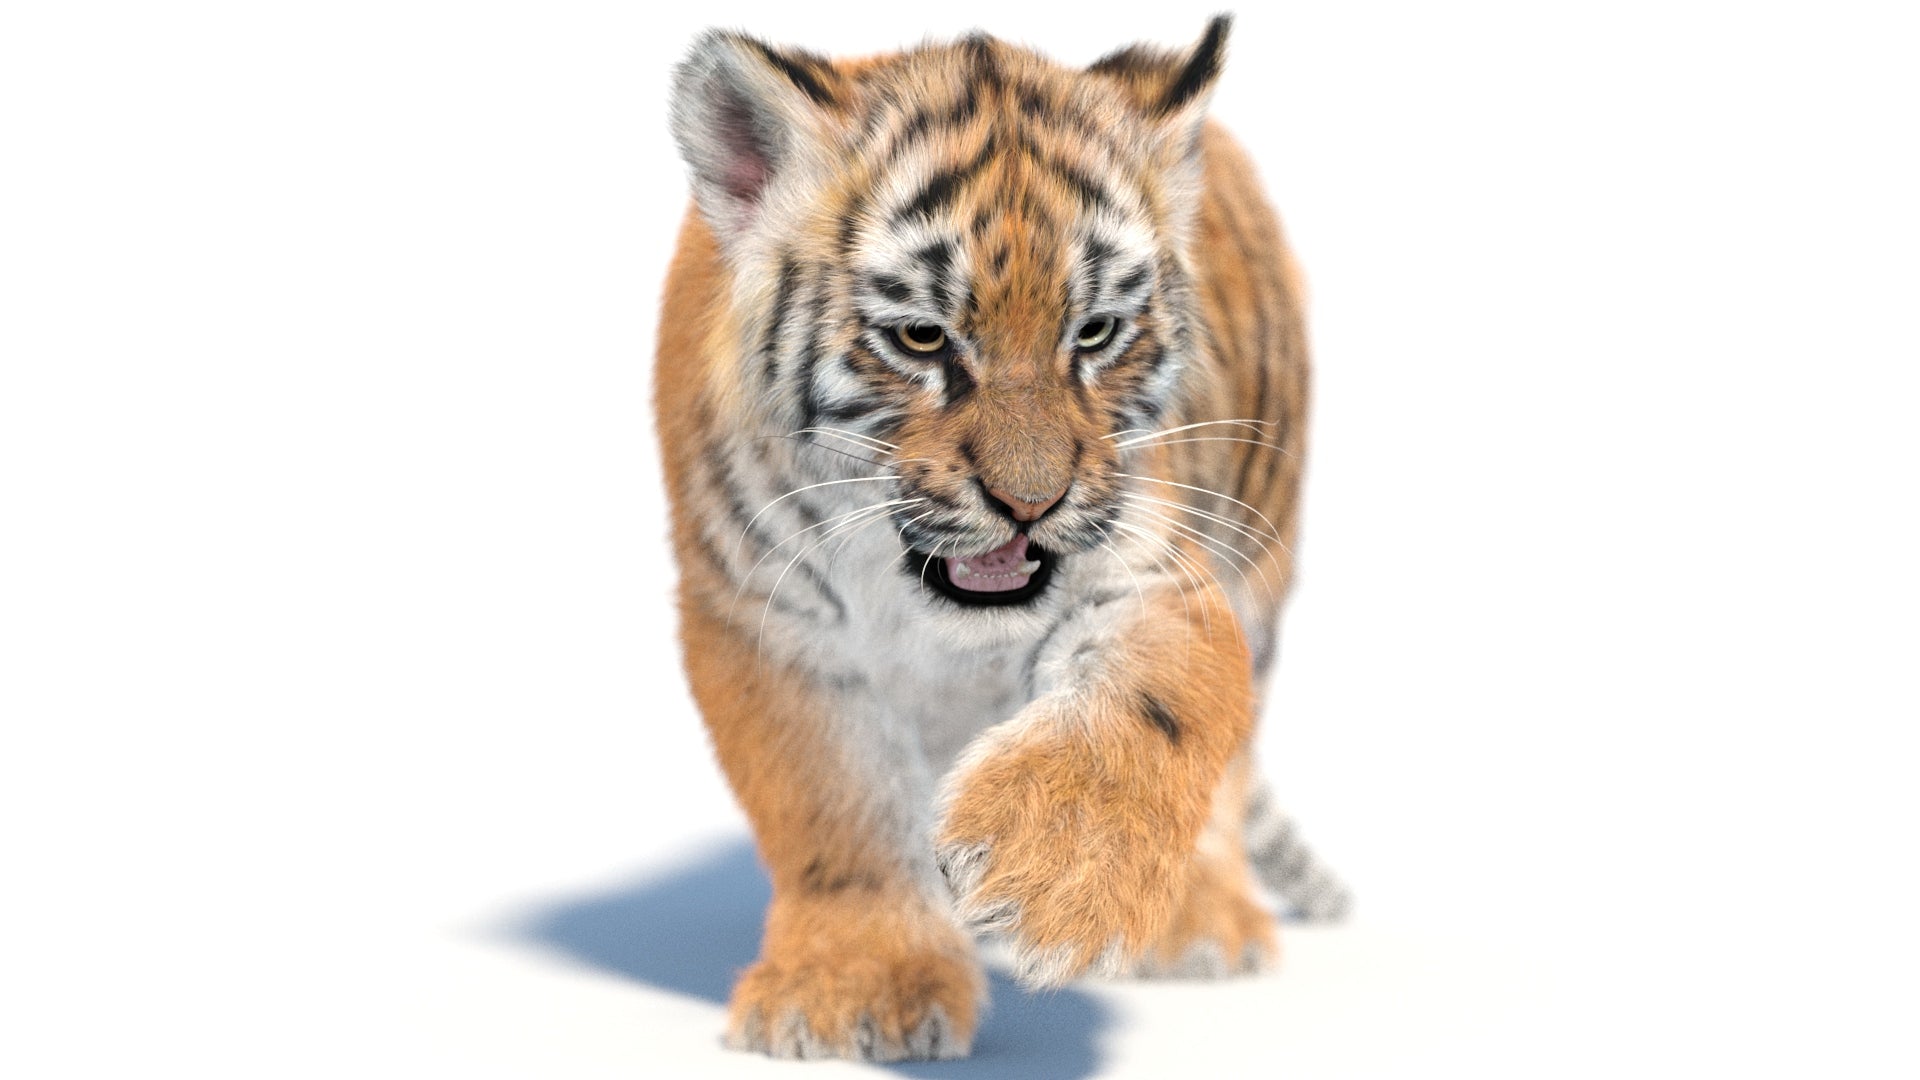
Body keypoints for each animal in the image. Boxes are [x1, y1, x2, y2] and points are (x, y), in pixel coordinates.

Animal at [654, 16, 1348, 1062]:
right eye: (922, 338)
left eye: (1095, 332)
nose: (1031, 503)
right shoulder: (764, 617)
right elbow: (835, 800)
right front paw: (856, 990)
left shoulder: (1155, 568)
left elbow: (1150, 711)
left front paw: (1048, 878)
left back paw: (1198, 926)